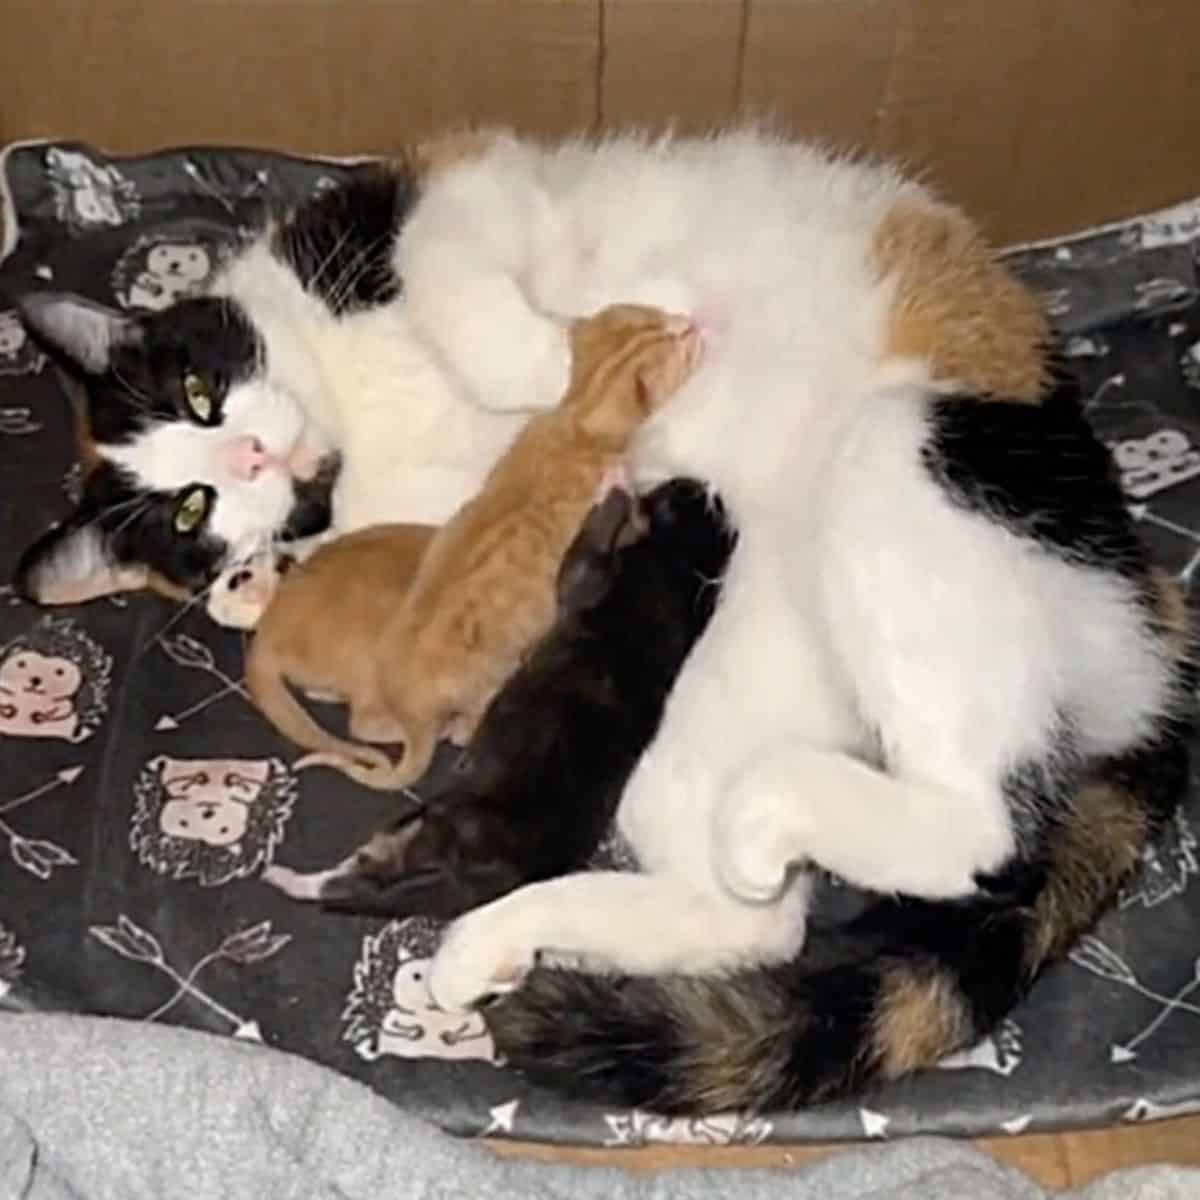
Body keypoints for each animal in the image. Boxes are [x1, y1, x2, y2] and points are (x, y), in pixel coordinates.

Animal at [262, 477, 729, 916]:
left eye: (676, 491)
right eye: (692, 493)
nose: (698, 482)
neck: (683, 567)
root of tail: (490, 875)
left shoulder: (591, 581)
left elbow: (584, 551)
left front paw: (615, 489)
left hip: (431, 825)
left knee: (355, 877)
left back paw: (290, 877)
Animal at [369, 302, 700, 787]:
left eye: (655, 315)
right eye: (673, 340)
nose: (691, 323)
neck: (579, 415)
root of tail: (411, 710)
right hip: (491, 680)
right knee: (466, 726)